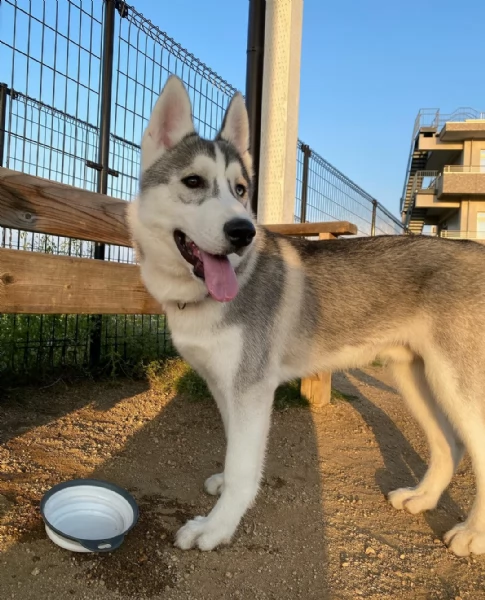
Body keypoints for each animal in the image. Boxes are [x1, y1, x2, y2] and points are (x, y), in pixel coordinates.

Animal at [126, 76, 484, 556]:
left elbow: (242, 470)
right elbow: (234, 451)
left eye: (241, 190)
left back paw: (473, 534)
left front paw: (216, 528)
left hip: (457, 385)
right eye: (193, 181)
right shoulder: (226, 385)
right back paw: (422, 498)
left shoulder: (251, 388)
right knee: (449, 444)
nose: (243, 232)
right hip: (416, 377)